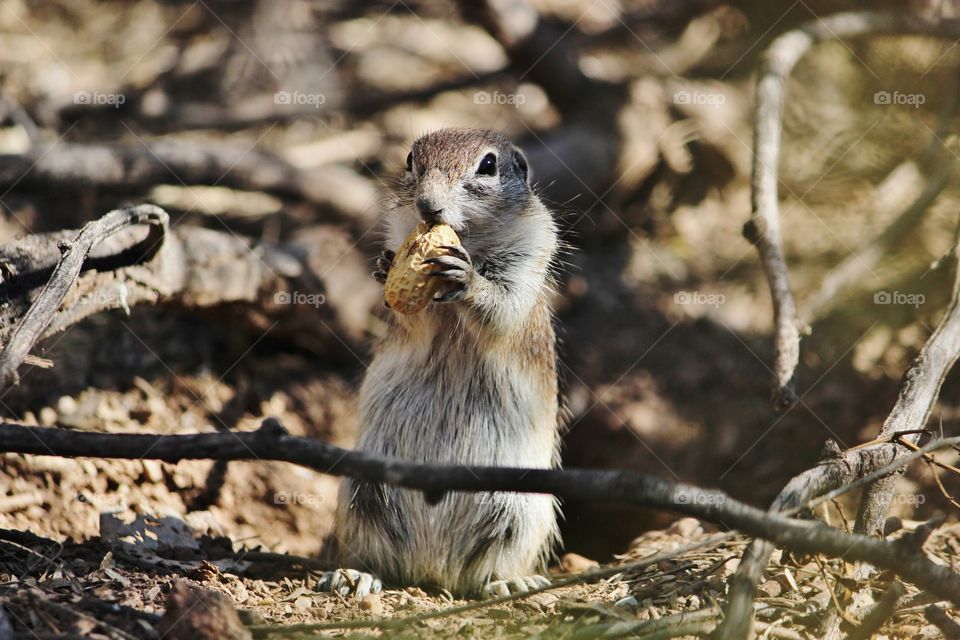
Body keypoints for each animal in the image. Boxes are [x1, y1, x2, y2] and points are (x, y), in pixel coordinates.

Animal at [330, 127, 564, 596]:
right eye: (410, 161)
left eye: (488, 165)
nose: (428, 205)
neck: (467, 240)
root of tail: (433, 571)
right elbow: (409, 314)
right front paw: (385, 266)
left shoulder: (527, 263)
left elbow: (501, 311)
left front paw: (467, 278)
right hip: (360, 491)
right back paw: (357, 575)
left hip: (522, 509)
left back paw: (508, 584)